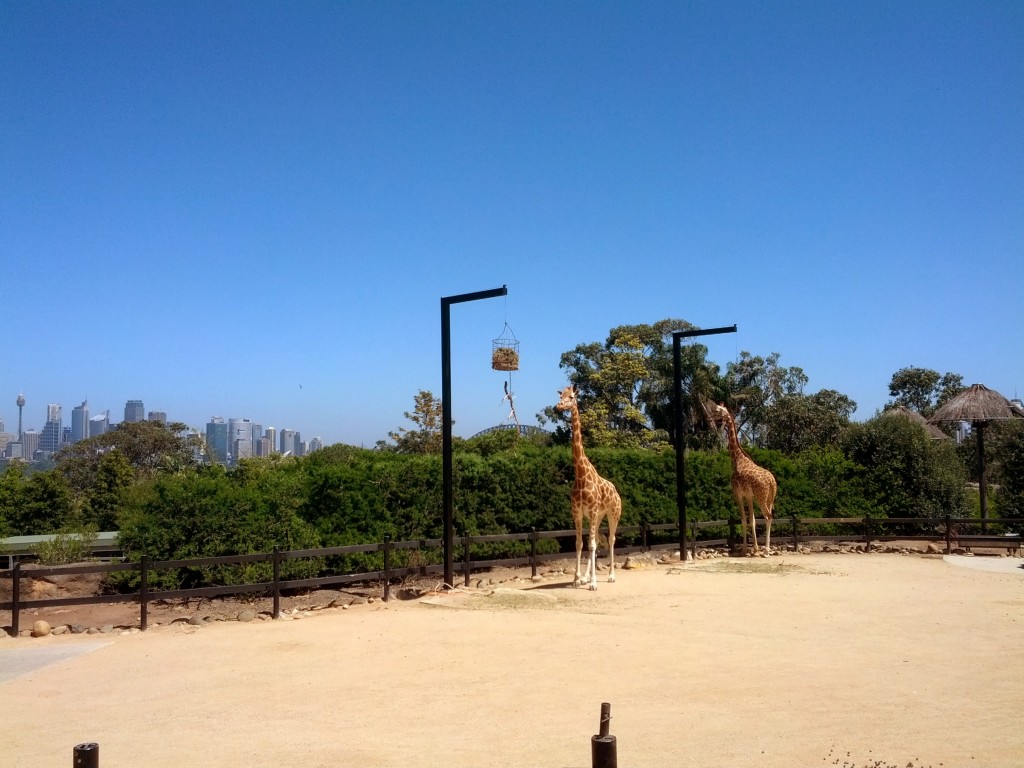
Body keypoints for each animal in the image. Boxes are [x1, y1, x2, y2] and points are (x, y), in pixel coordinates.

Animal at [557, 387, 618, 593]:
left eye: (571, 397)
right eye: (560, 396)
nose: (558, 407)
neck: (581, 475)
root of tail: (616, 491)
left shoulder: (591, 511)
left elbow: (590, 545)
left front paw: (593, 583)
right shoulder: (577, 512)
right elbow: (580, 543)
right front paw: (577, 579)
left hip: (613, 514)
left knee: (611, 539)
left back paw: (611, 576)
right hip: (598, 516)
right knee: (597, 540)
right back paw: (586, 577)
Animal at [708, 403, 778, 561]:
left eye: (717, 410)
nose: (709, 418)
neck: (737, 459)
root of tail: (772, 481)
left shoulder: (738, 494)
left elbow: (743, 520)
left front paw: (744, 550)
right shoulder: (749, 496)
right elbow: (752, 520)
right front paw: (754, 549)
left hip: (761, 497)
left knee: (768, 516)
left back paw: (766, 551)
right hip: (770, 498)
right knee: (769, 516)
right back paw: (765, 549)